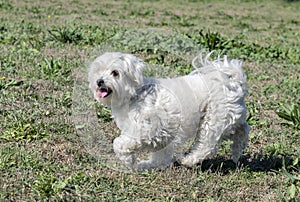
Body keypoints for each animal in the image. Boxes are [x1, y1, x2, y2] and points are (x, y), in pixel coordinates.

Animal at [88, 51, 250, 170]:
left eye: (115, 73)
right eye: (98, 71)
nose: (99, 81)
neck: (135, 95)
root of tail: (233, 82)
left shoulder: (147, 130)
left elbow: (119, 143)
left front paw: (129, 160)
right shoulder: (163, 136)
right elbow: (160, 156)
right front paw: (147, 165)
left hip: (213, 121)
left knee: (207, 146)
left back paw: (188, 160)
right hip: (230, 119)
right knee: (243, 129)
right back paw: (237, 151)